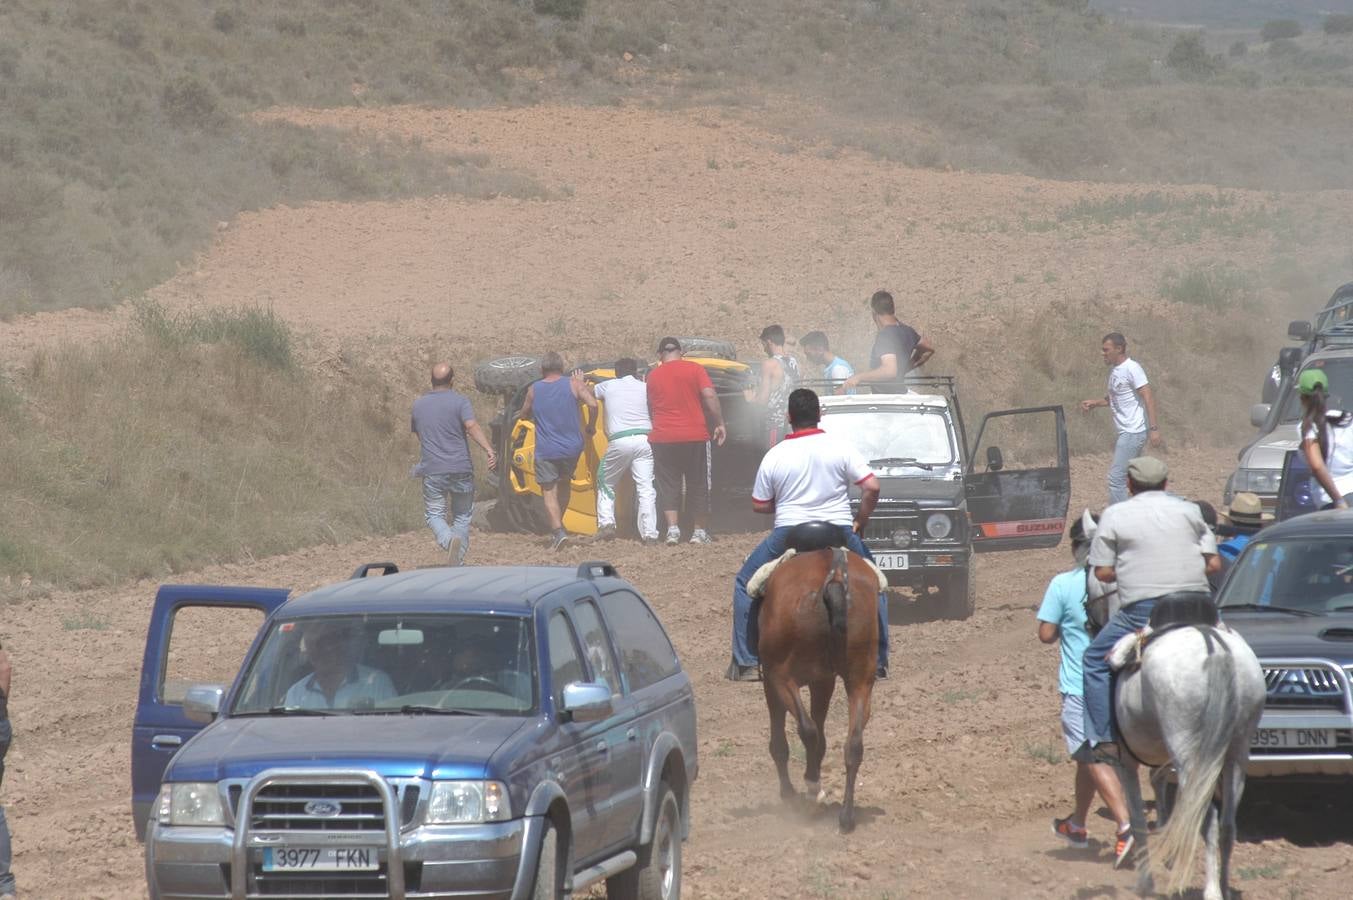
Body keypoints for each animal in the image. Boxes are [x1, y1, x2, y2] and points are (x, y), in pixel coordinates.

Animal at [757, 544, 882, 833]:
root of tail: (834, 575)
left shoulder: (771, 680)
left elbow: (780, 742)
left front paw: (789, 794)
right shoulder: (823, 680)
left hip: (781, 677)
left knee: (807, 730)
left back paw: (813, 792)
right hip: (860, 680)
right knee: (853, 744)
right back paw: (846, 817)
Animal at [1109, 617, 1266, 898]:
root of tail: (1215, 646)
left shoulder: (1125, 762)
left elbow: (1138, 817)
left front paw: (1145, 883)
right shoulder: (1165, 759)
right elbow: (1160, 785)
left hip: (1187, 753)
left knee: (1207, 820)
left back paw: (1211, 890)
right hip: (1235, 754)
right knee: (1227, 824)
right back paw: (1223, 886)